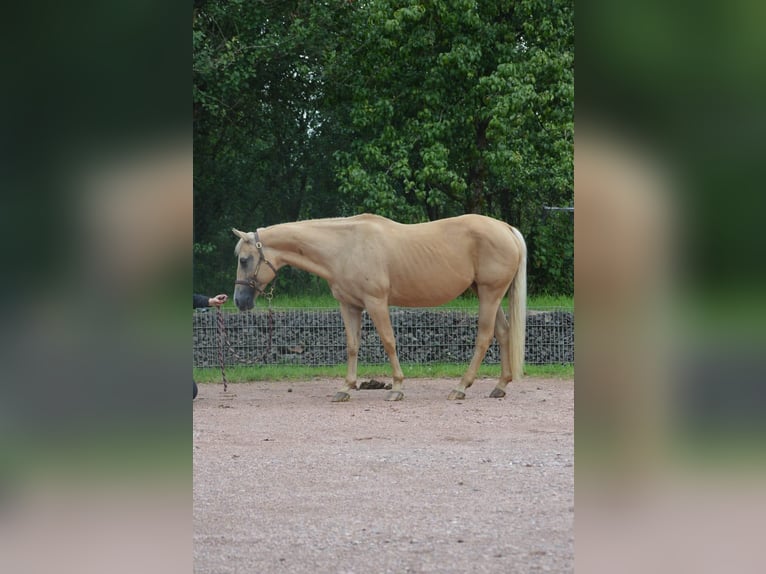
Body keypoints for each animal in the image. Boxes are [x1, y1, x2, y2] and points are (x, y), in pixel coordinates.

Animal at [231, 214, 528, 402]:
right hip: (488, 294)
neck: (345, 247)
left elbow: (388, 341)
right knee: (503, 333)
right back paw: (500, 385)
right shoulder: (350, 306)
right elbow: (352, 346)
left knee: (484, 337)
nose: (239, 301)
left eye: (244, 259)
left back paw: (461, 387)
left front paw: (396, 387)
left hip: (489, 294)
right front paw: (346, 388)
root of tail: (505, 228)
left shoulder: (376, 303)